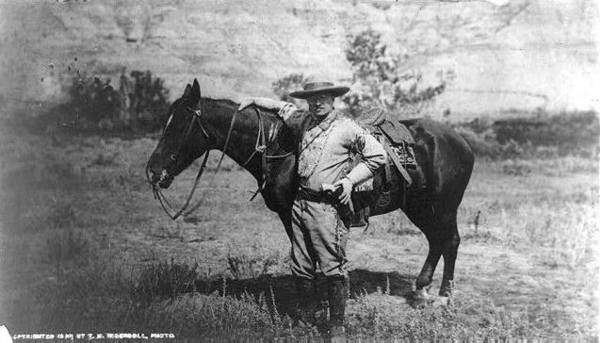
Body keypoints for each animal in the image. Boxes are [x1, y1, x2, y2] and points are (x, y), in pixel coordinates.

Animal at [146, 79, 474, 300]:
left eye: (180, 125)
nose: (152, 171)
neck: (279, 147)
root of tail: (461, 142)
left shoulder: (294, 213)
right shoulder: (289, 215)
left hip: (443, 207)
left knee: (450, 241)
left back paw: (443, 295)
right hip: (419, 207)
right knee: (436, 241)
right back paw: (421, 289)